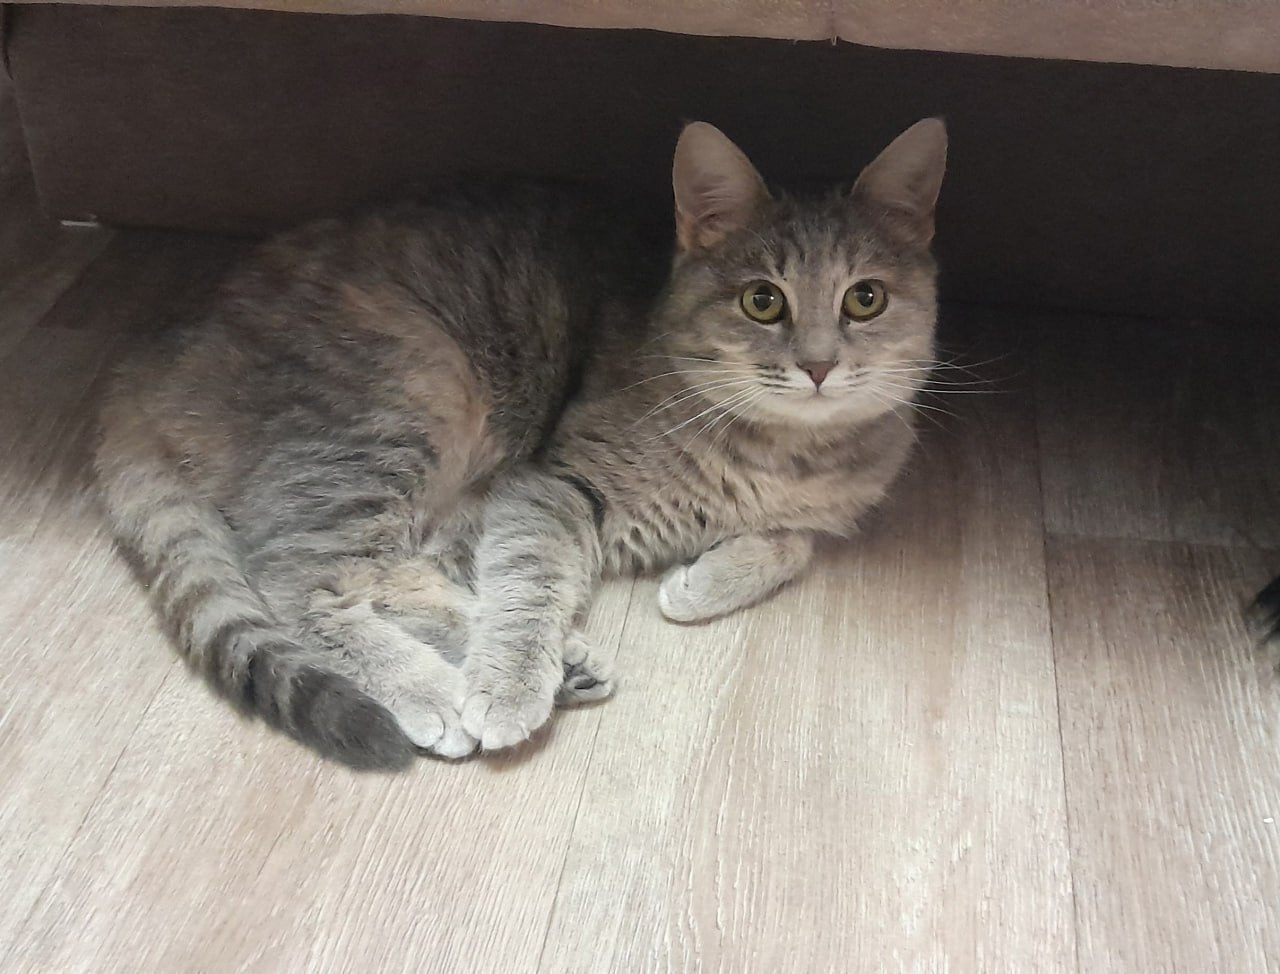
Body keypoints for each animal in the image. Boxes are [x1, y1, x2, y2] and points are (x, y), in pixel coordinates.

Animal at [95, 118, 948, 769]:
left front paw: (704, 581)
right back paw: (443, 688)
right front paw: (507, 685)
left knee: (393, 573)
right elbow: (527, 582)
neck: (784, 451)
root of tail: (156, 357)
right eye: (763, 301)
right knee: (304, 583)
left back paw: (557, 665)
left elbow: (793, 542)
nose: (818, 366)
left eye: (865, 300)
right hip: (406, 398)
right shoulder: (547, 485)